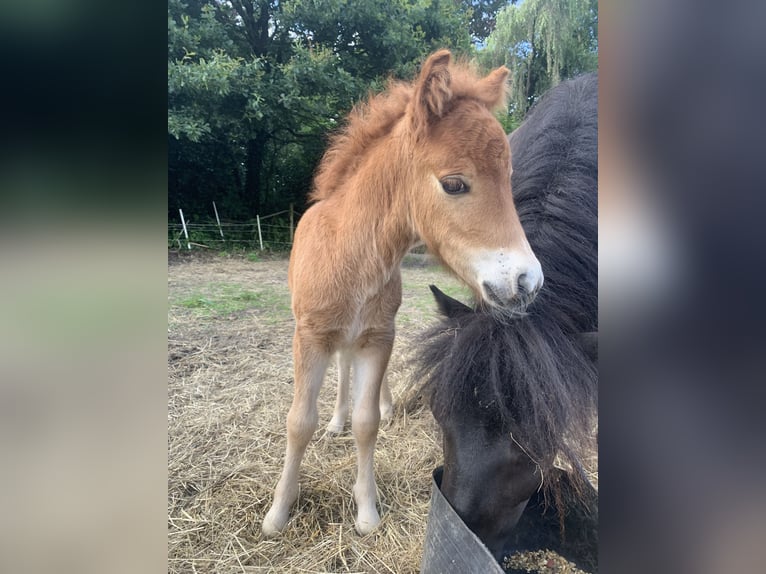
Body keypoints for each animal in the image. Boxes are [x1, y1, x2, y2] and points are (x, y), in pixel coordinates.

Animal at [264, 50, 544, 540]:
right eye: (454, 184)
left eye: (508, 179)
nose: (526, 281)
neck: (350, 255)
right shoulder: (309, 336)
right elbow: (298, 422)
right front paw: (278, 513)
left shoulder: (379, 337)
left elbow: (366, 422)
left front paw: (366, 512)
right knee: (339, 371)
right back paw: (333, 421)